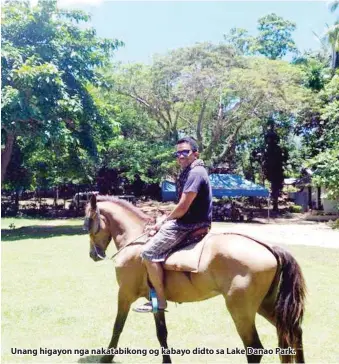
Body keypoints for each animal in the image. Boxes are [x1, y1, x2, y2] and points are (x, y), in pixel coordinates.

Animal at [85, 196, 308, 364]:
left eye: (87, 222)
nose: (93, 255)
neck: (136, 240)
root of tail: (269, 247)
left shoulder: (124, 293)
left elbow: (117, 326)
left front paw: (106, 358)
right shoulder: (156, 301)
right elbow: (162, 333)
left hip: (241, 310)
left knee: (254, 348)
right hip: (266, 304)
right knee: (295, 332)